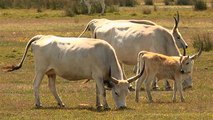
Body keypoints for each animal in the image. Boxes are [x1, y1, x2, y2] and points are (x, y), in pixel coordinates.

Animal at [5, 34, 144, 109]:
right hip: (40, 70)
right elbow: (103, 92)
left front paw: (98, 105)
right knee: (35, 85)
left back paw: (61, 103)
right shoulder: (98, 76)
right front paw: (106, 106)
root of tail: (42, 37)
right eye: (116, 92)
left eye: (127, 93)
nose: (123, 106)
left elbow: (97, 92)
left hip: (51, 72)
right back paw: (38, 103)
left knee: (52, 87)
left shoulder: (97, 78)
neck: (106, 55)